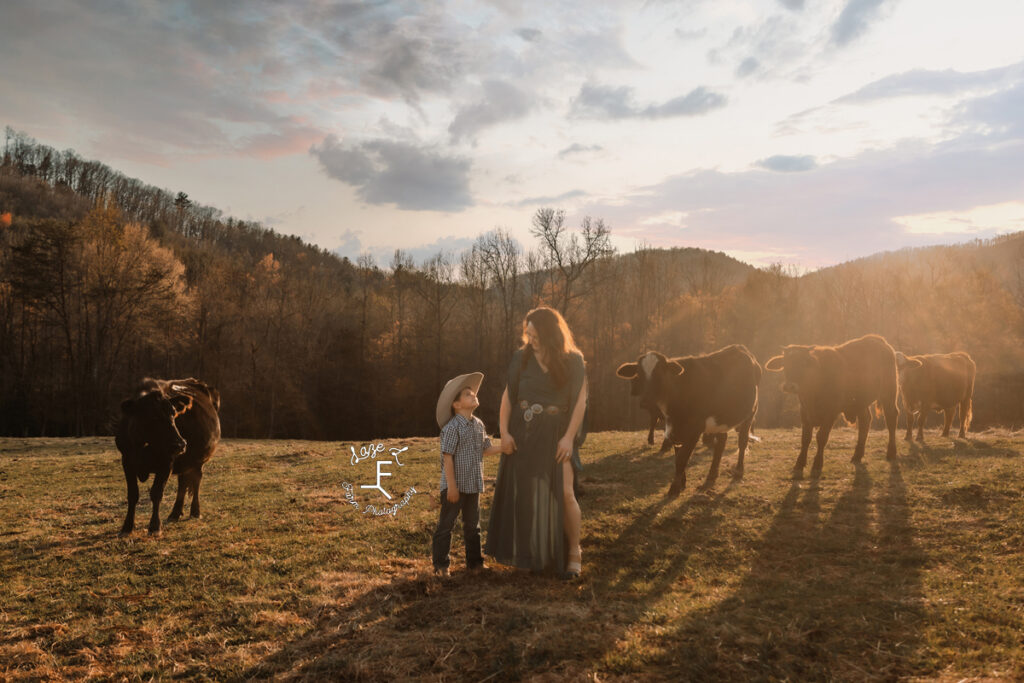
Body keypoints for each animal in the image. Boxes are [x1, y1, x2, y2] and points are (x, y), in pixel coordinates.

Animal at [115, 376, 220, 536]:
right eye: (152, 417)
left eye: (174, 414)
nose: (180, 444)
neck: (142, 445)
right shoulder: (127, 460)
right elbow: (132, 494)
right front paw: (127, 527)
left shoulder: (166, 462)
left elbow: (157, 493)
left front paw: (154, 527)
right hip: (185, 462)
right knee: (183, 483)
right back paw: (175, 513)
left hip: (198, 460)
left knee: (196, 480)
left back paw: (195, 511)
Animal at [614, 348, 761, 497]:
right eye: (639, 373)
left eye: (660, 372)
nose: (646, 401)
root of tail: (739, 348)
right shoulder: (674, 428)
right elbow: (678, 456)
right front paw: (682, 483)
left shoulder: (695, 429)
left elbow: (682, 458)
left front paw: (674, 488)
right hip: (722, 418)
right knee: (721, 442)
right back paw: (712, 474)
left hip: (750, 413)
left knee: (742, 441)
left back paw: (738, 471)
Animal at [765, 335, 901, 475]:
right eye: (785, 364)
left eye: (803, 363)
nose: (789, 386)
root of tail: (877, 339)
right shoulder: (805, 412)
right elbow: (805, 439)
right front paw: (799, 463)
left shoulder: (831, 413)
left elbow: (821, 437)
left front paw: (817, 464)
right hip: (861, 402)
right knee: (865, 422)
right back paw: (857, 455)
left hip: (889, 392)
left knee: (891, 418)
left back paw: (891, 453)